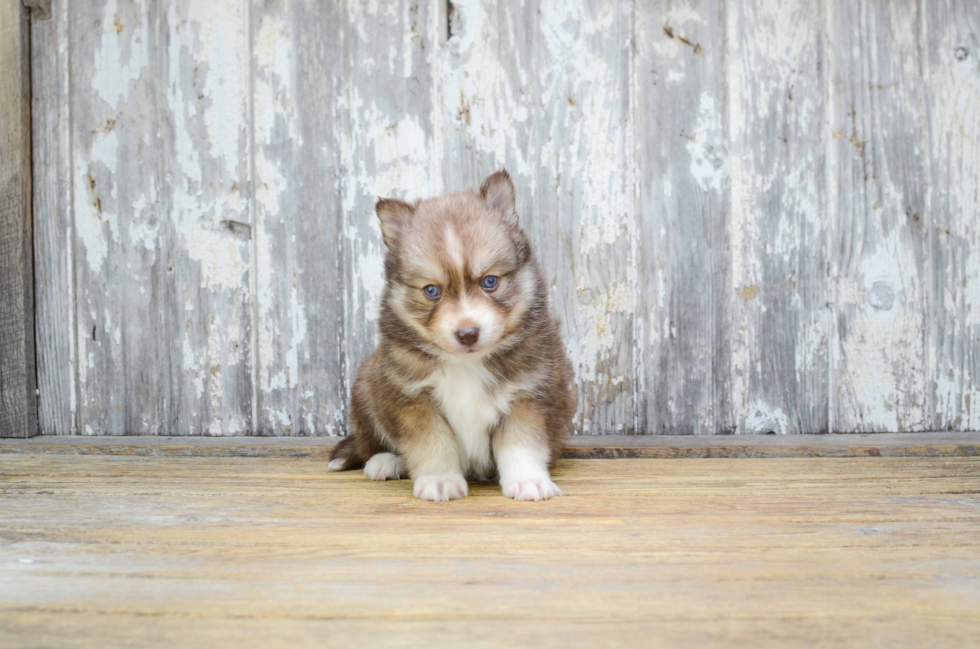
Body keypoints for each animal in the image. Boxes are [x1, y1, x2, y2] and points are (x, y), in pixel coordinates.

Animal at [330, 168, 576, 502]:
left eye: (490, 281)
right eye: (431, 290)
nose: (468, 334)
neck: (467, 364)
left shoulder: (529, 392)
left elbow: (521, 443)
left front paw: (528, 481)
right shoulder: (411, 397)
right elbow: (432, 443)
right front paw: (440, 480)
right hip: (366, 386)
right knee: (368, 442)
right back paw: (386, 461)